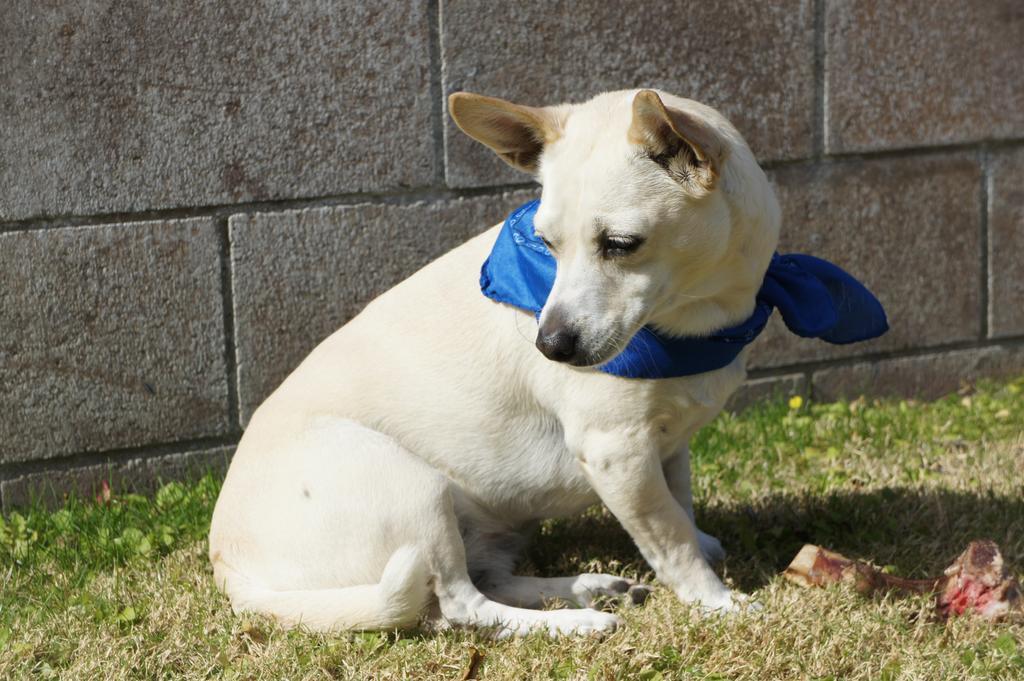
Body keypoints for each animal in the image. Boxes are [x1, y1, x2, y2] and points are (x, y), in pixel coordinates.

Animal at [209, 87, 782, 634]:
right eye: (546, 243)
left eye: (621, 244)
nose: (549, 345)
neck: (700, 323)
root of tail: (229, 569)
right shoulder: (615, 452)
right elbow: (670, 538)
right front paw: (716, 602)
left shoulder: (667, 442)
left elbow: (680, 503)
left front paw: (704, 549)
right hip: (418, 492)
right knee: (463, 607)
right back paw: (577, 622)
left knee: (485, 584)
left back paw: (587, 587)